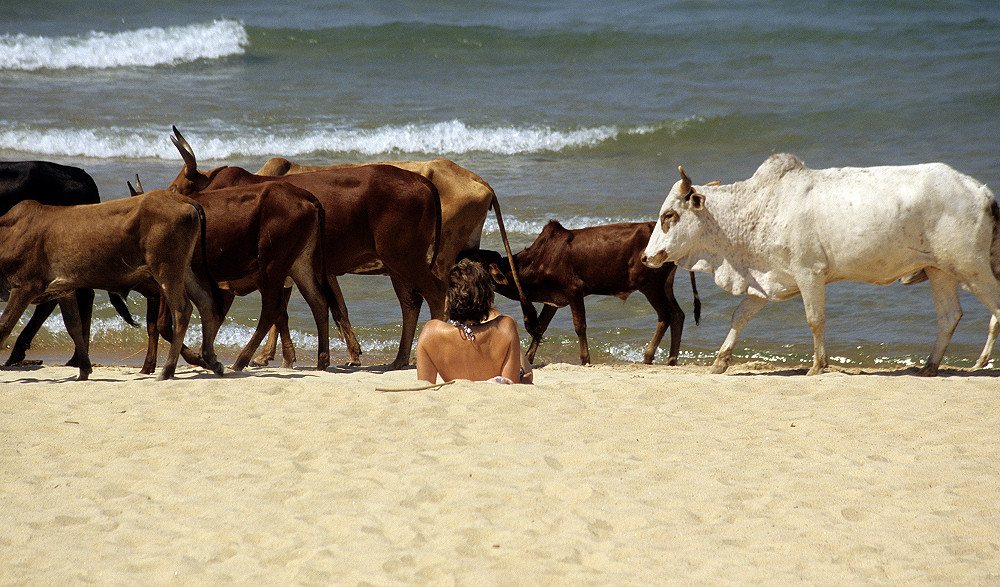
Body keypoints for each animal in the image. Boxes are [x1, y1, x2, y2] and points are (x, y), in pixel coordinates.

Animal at [0, 192, 225, 382]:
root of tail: (181, 198)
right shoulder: (63, 289)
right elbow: (74, 327)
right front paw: (84, 370)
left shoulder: (24, 286)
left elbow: (4, 326)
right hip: (182, 269)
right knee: (205, 301)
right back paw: (212, 361)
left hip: (166, 269)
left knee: (182, 310)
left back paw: (167, 370)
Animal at [129, 178, 336, 372]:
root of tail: (305, 195)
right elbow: (156, 326)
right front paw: (150, 367)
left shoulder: (167, 279)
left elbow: (163, 324)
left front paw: (198, 359)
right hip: (299, 262)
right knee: (318, 301)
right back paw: (322, 360)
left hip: (272, 263)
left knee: (272, 309)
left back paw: (241, 360)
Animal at [167, 127, 442, 370]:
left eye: (176, 188)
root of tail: (421, 180)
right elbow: (302, 311)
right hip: (396, 264)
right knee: (410, 303)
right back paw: (399, 359)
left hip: (403, 257)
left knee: (434, 293)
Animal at [464, 222, 700, 368]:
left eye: (476, 261)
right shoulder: (554, 300)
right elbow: (540, 327)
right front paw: (529, 358)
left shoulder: (574, 290)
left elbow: (580, 326)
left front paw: (585, 359)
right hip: (664, 285)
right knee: (677, 315)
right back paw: (671, 359)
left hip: (650, 285)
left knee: (665, 316)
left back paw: (649, 356)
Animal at [640, 153, 1000, 376]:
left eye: (669, 215)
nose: (646, 256)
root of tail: (980, 190)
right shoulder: (767, 279)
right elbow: (739, 316)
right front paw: (720, 360)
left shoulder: (809, 273)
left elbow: (815, 319)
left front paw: (817, 365)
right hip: (940, 271)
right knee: (949, 316)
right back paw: (929, 366)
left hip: (972, 267)